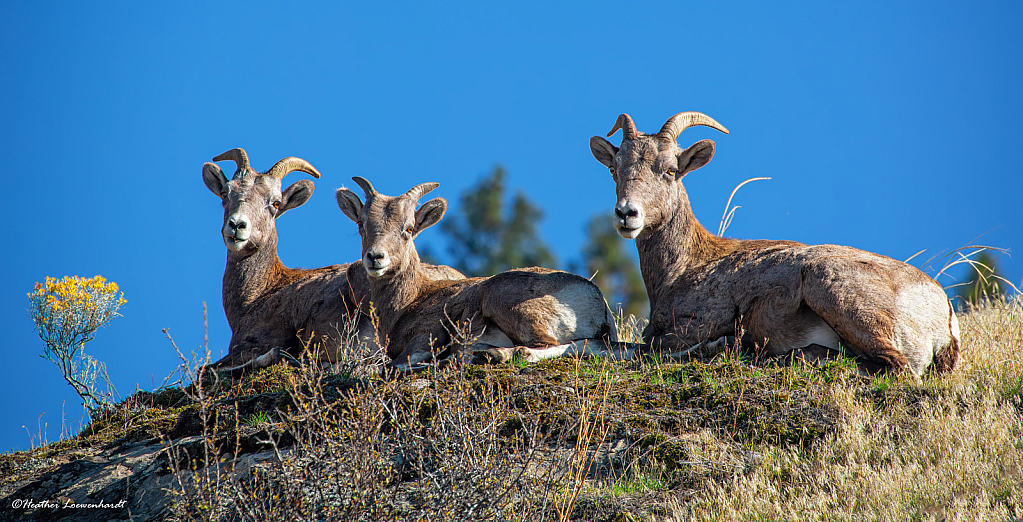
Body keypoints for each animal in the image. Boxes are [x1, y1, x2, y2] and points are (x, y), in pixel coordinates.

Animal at [335, 176, 630, 370]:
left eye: (408, 229)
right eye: (361, 224)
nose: (376, 258)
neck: (408, 302)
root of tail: (596, 300)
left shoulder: (426, 337)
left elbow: (395, 365)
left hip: (506, 304)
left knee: (542, 346)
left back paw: (494, 355)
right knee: (592, 347)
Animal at [589, 113, 961, 374]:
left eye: (669, 171)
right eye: (613, 169)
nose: (627, 214)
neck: (681, 269)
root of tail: (942, 312)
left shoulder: (692, 327)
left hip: (832, 287)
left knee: (894, 366)